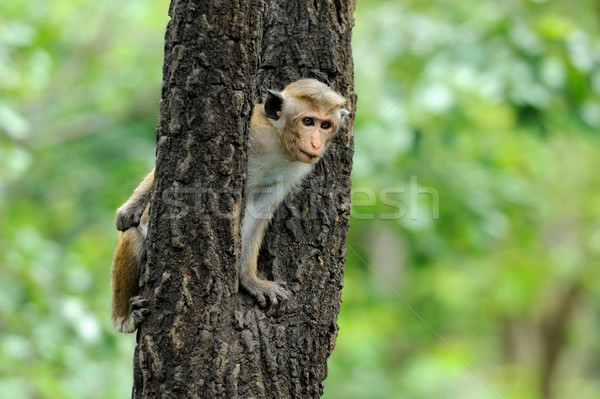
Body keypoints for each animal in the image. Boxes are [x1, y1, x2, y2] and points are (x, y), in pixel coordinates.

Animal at [110, 79, 350, 334]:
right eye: (308, 121)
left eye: (325, 125)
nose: (315, 143)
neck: (278, 144)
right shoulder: (253, 131)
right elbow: (158, 175)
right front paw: (130, 208)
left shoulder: (293, 171)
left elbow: (258, 211)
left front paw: (249, 280)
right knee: (133, 236)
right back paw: (124, 318)